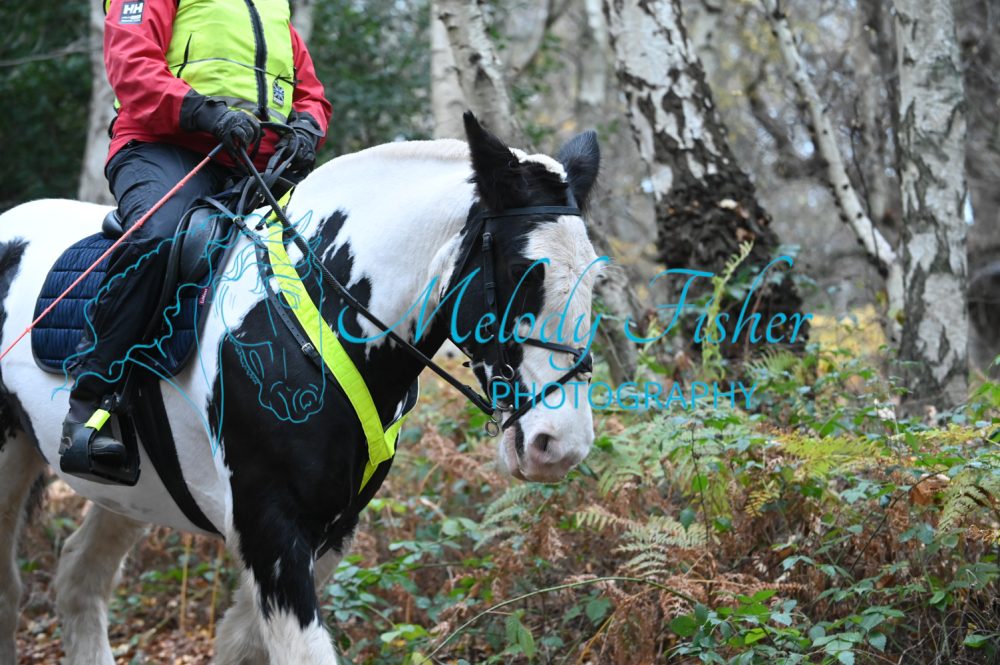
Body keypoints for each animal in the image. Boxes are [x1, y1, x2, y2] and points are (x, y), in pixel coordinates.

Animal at [0, 113, 601, 665]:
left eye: (597, 277)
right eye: (523, 272)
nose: (560, 445)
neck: (314, 318)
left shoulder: (332, 529)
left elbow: (244, 643)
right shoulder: (269, 528)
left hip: (132, 489)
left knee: (79, 581)